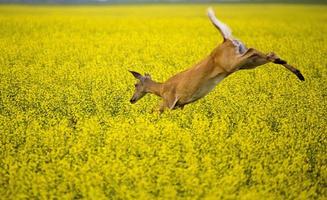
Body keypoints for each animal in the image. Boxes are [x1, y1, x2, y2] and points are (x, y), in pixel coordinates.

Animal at [128, 7, 304, 113]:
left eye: (136, 84)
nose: (131, 100)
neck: (161, 88)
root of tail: (226, 40)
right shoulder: (180, 105)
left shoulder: (170, 100)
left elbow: (154, 110)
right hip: (246, 64)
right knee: (266, 53)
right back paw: (296, 72)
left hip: (232, 63)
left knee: (254, 50)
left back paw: (292, 69)